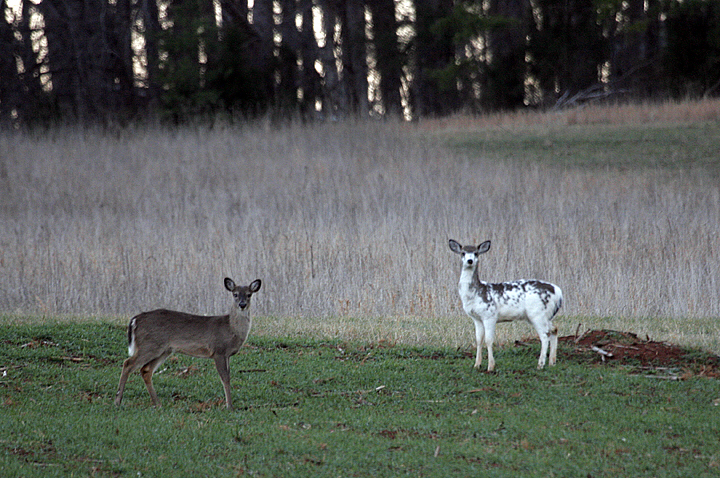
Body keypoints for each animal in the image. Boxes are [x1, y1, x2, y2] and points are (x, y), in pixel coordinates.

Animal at [116, 278, 262, 408]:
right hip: (149, 345)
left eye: (249, 294)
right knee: (128, 363)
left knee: (146, 370)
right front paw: (229, 406)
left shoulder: (227, 355)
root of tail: (135, 320)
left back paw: (157, 403)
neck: (231, 329)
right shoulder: (218, 350)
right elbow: (225, 378)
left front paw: (229, 404)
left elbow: (228, 377)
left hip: (163, 350)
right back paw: (118, 401)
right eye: (235, 294)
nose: (242, 304)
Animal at [450, 241, 564, 372]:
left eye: (476, 253)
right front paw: (477, 365)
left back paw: (540, 365)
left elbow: (489, 340)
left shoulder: (490, 315)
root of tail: (558, 292)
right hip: (545, 315)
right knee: (554, 329)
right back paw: (552, 362)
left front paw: (490, 366)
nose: (470, 260)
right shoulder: (476, 318)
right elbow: (479, 340)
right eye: (463, 252)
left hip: (537, 313)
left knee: (545, 336)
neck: (475, 294)